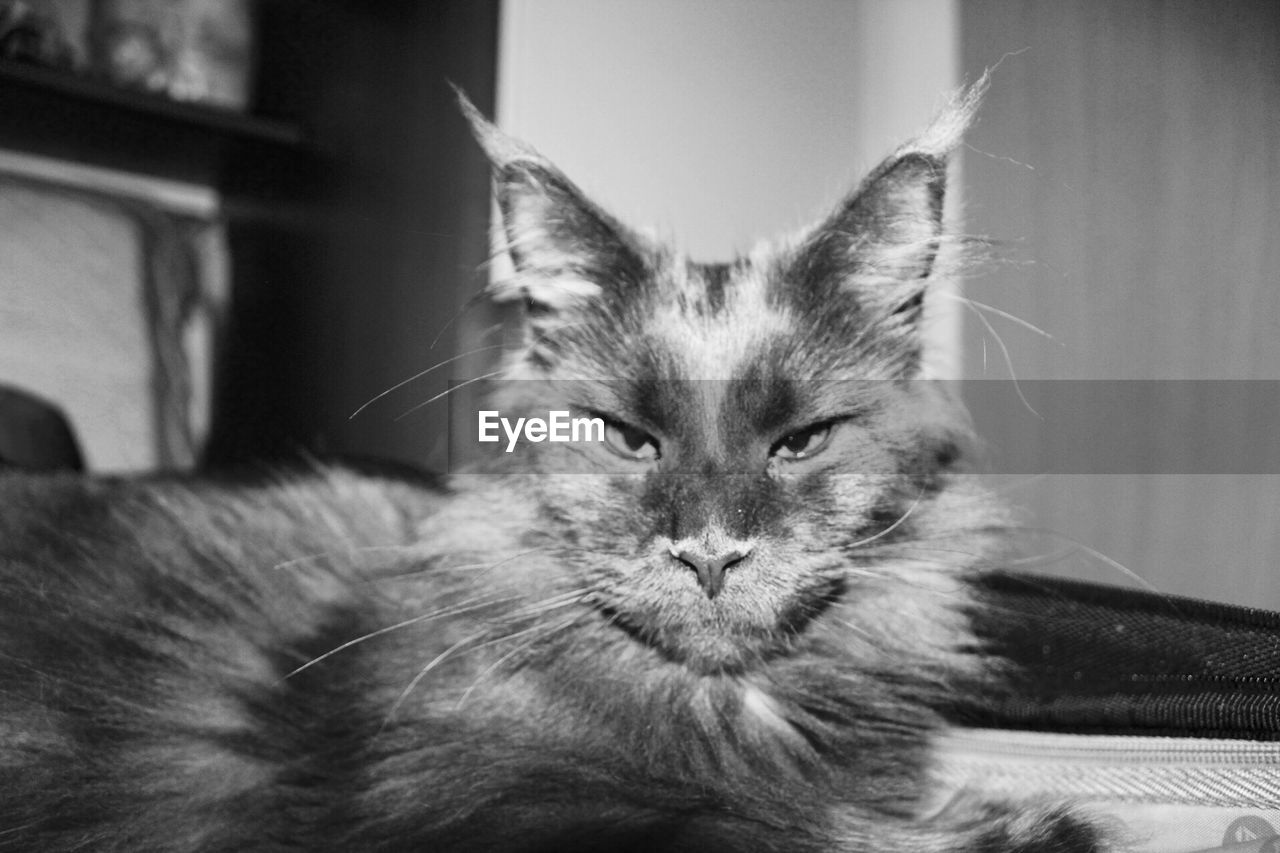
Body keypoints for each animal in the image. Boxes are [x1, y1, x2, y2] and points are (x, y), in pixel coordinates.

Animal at [0, 81, 1105, 850]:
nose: (710, 553)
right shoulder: (444, 809)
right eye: (627, 438)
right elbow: (751, 826)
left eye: (799, 441)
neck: (719, 712)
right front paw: (1033, 824)